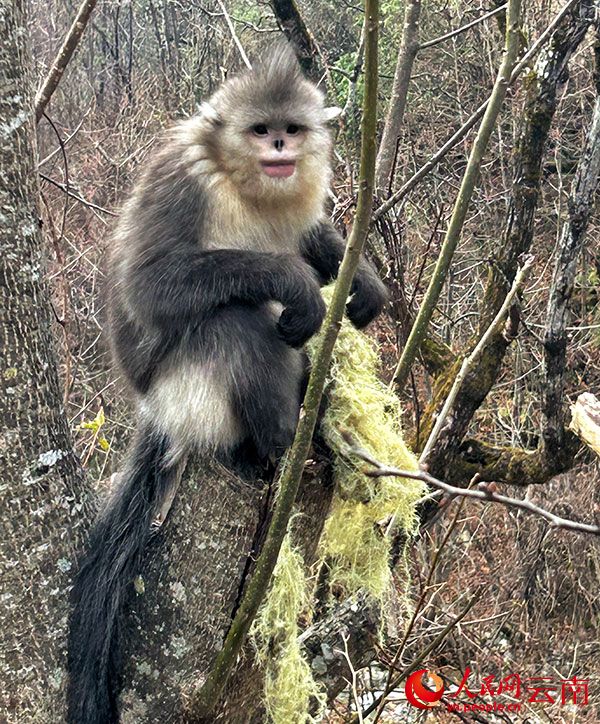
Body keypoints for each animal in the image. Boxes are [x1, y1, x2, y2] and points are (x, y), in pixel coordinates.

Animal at [66, 43, 387, 724]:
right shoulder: (185, 176)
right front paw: (294, 283)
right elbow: (147, 286)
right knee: (232, 320)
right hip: (184, 389)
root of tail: (155, 413)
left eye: (291, 129)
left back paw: (317, 431)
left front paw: (366, 283)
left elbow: (313, 240)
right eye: (259, 130)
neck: (246, 184)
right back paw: (276, 443)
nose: (280, 149)